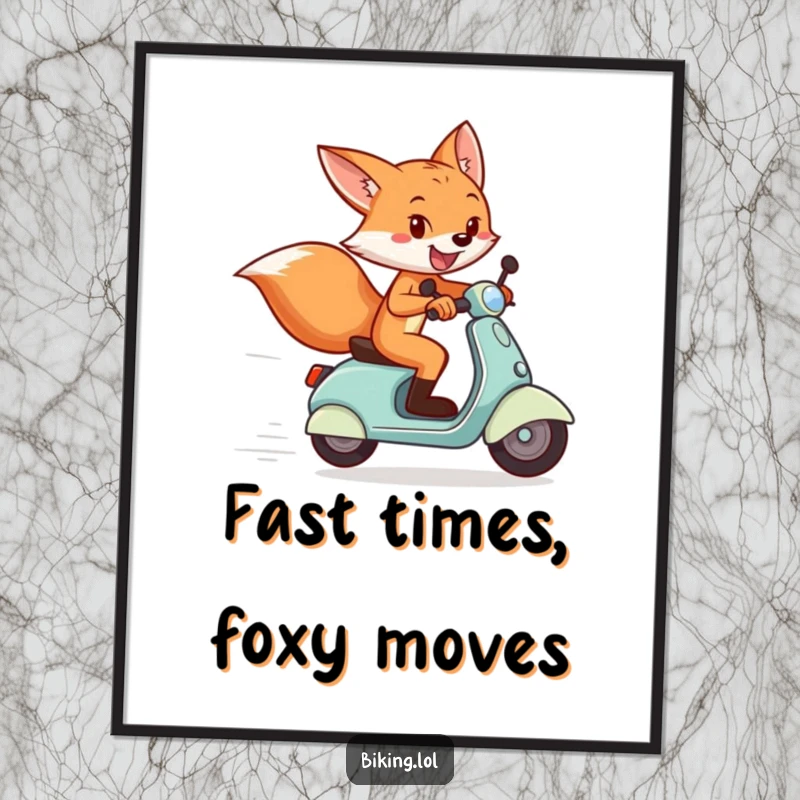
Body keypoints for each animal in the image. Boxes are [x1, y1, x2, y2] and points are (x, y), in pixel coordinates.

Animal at [235, 121, 511, 418]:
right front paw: (441, 304)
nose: (462, 238)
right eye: (416, 225)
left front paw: (501, 292)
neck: (418, 271)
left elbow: (447, 284)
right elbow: (401, 302)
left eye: (473, 223)